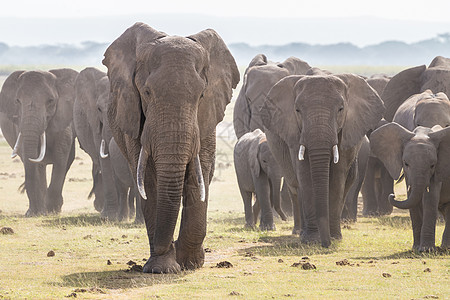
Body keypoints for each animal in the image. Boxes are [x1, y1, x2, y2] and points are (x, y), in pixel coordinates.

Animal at [0, 68, 78, 216]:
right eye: (17, 101)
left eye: (50, 101)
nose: (32, 212)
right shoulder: (20, 123)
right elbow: (28, 156)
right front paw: (33, 213)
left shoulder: (64, 120)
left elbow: (61, 156)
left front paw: (53, 211)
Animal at [102, 22, 241, 274]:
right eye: (147, 93)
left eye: (201, 95)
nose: (169, 245)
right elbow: (148, 180)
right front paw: (162, 268)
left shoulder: (206, 118)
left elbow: (198, 174)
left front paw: (190, 263)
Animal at [262, 74, 384, 247]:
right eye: (297, 110)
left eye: (341, 109)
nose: (326, 244)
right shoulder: (295, 133)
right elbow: (305, 175)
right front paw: (312, 240)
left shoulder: (346, 131)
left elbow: (337, 177)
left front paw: (334, 238)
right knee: (296, 187)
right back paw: (300, 233)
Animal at [370, 122, 450, 251]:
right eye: (406, 163)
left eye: (432, 165)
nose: (392, 195)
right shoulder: (409, 175)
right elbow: (413, 200)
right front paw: (416, 248)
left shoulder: (438, 170)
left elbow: (430, 199)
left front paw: (426, 250)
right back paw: (445, 247)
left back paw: (445, 248)